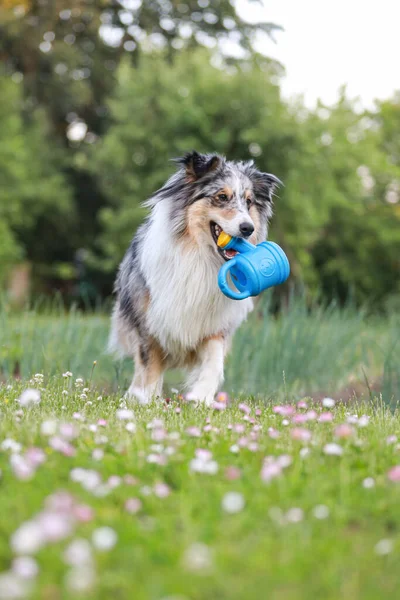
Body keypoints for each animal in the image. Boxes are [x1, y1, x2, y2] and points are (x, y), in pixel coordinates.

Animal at [108, 150, 280, 406]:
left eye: (249, 202)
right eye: (222, 197)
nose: (248, 228)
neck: (200, 256)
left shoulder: (214, 326)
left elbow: (214, 363)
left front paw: (201, 397)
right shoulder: (150, 325)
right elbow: (150, 368)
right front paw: (146, 401)